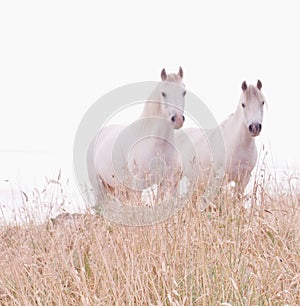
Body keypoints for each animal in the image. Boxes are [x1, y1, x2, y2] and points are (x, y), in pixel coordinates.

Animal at [87, 67, 185, 201]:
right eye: (163, 93)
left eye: (184, 92)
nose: (178, 119)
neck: (158, 144)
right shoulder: (137, 186)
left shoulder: (170, 183)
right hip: (100, 190)